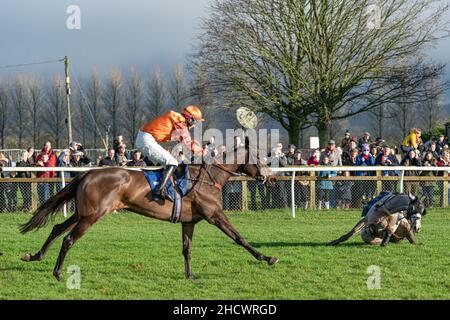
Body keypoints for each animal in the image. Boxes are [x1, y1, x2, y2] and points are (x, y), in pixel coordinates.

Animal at [21, 142, 278, 280]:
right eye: (260, 158)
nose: (271, 178)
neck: (207, 178)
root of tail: (87, 173)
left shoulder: (189, 221)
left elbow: (187, 249)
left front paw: (189, 275)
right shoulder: (214, 215)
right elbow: (239, 238)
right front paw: (268, 258)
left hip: (82, 213)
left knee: (57, 229)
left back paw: (34, 256)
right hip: (92, 215)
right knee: (68, 239)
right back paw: (57, 272)